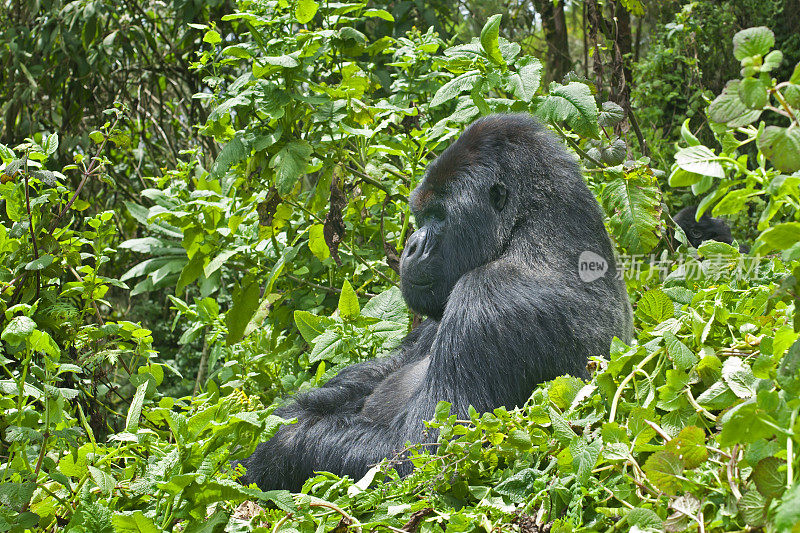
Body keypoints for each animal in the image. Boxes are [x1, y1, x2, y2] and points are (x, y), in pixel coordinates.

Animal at [238, 113, 632, 490]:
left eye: (440, 215)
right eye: (423, 214)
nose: (411, 246)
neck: (528, 228)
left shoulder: (489, 300)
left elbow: (424, 457)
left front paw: (278, 446)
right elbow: (382, 369)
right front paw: (286, 418)